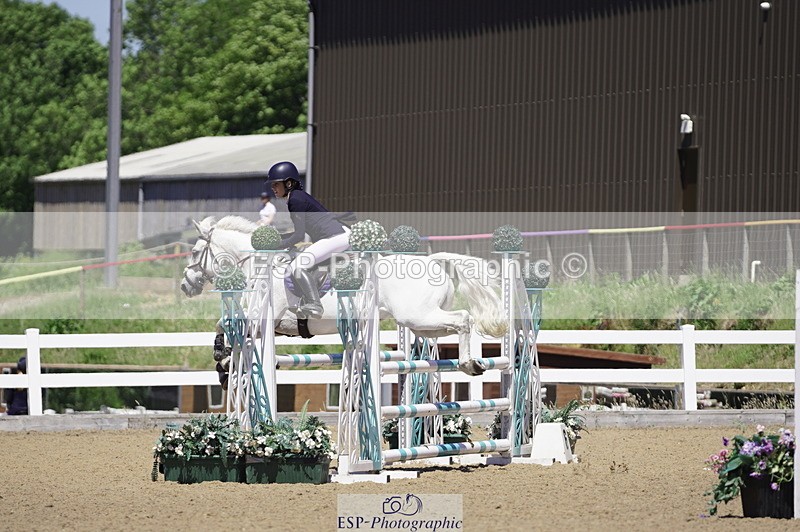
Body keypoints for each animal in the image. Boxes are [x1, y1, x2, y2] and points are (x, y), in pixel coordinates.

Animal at [180, 215, 507, 376]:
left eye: (195, 253)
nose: (185, 285)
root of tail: (434, 262)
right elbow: (227, 326)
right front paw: (223, 359)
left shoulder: (260, 317)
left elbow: (223, 323)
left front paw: (221, 356)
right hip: (423, 324)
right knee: (456, 324)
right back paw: (472, 363)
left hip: (418, 316)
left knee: (464, 319)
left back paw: (468, 364)